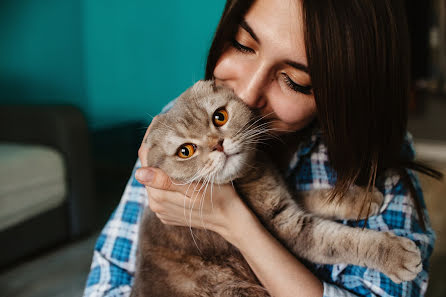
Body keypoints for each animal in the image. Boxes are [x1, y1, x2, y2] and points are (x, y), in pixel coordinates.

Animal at [131, 80, 424, 296]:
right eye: (186, 151)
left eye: (219, 116)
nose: (218, 144)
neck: (255, 172)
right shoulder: (287, 227)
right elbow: (340, 240)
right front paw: (395, 254)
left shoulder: (285, 196)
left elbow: (320, 195)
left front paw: (362, 197)